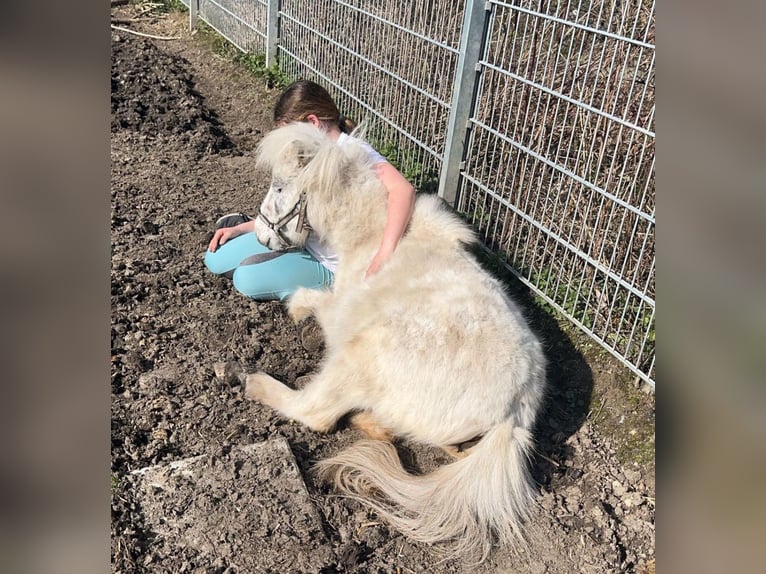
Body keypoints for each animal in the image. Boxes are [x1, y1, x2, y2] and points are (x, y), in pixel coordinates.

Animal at [246, 121, 547, 562]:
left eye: (280, 186)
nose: (262, 238)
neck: (370, 234)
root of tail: (513, 413)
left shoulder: (340, 311)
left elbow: (314, 300)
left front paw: (297, 310)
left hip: (360, 356)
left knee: (315, 411)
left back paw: (252, 381)